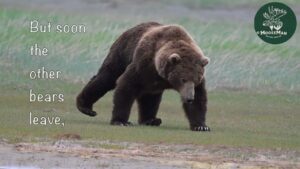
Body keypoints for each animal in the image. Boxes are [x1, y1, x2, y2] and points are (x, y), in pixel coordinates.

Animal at [76, 21, 210, 131]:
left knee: (150, 98)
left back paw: (151, 120)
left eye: (196, 80)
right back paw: (86, 107)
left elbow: (199, 98)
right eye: (183, 79)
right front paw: (121, 121)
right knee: (106, 78)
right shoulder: (144, 64)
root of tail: (130, 29)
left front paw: (201, 126)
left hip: (149, 83)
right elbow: (126, 84)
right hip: (122, 53)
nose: (189, 98)